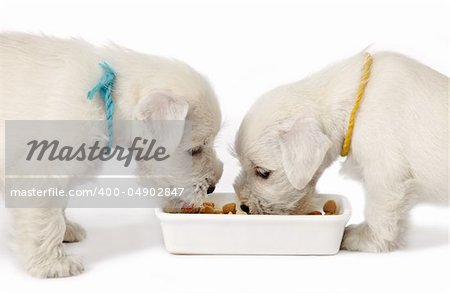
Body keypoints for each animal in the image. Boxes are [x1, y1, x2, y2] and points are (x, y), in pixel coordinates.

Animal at [234, 50, 448, 251]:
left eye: (263, 173)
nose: (243, 206)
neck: (356, 104)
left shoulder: (385, 175)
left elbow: (379, 211)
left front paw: (364, 238)